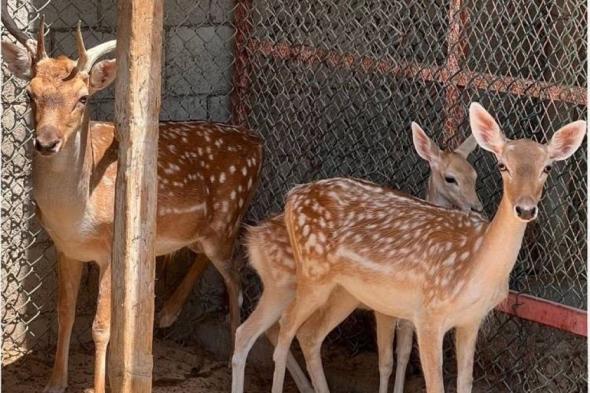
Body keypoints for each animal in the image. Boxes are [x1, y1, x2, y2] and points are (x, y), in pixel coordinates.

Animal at [0, 16, 264, 392]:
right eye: (29, 93)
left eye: (83, 98)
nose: (47, 142)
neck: (76, 214)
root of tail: (258, 141)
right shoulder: (66, 247)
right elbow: (66, 313)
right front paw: (55, 382)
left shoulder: (113, 246)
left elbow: (100, 326)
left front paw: (98, 386)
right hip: (202, 229)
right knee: (203, 256)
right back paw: (167, 314)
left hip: (229, 215)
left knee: (237, 283)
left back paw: (229, 362)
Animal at [231, 125, 486, 392]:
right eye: (450, 178)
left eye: (474, 175)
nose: (476, 206)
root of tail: (254, 241)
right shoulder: (385, 308)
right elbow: (387, 360)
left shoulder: (409, 313)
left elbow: (404, 353)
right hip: (289, 286)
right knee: (265, 331)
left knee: (276, 331)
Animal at [272, 102, 588, 390]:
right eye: (502, 165)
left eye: (547, 167)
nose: (525, 209)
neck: (475, 268)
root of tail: (292, 195)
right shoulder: (428, 314)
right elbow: (434, 383)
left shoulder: (472, 320)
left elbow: (465, 383)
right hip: (313, 273)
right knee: (285, 327)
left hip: (345, 291)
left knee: (309, 335)